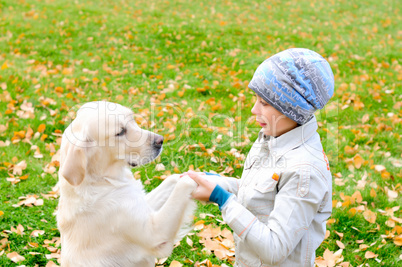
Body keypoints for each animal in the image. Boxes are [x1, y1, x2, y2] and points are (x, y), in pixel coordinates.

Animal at [57, 101, 199, 266]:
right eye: (120, 132)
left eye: (133, 120)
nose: (160, 140)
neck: (104, 180)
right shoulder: (155, 233)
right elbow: (184, 184)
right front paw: (196, 180)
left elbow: (172, 179)